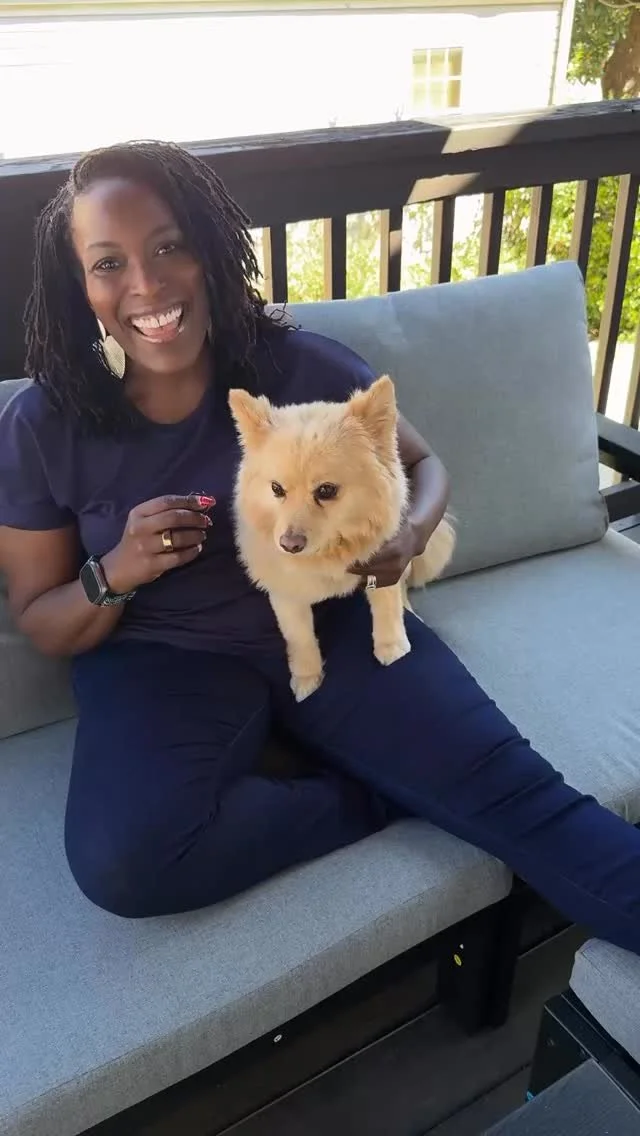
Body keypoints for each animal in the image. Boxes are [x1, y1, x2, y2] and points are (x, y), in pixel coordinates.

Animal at [229, 375, 455, 701]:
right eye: (276, 489)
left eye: (326, 490)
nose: (289, 545)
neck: (328, 552)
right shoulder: (285, 593)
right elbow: (299, 636)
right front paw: (307, 679)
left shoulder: (385, 561)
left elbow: (387, 604)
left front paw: (391, 647)